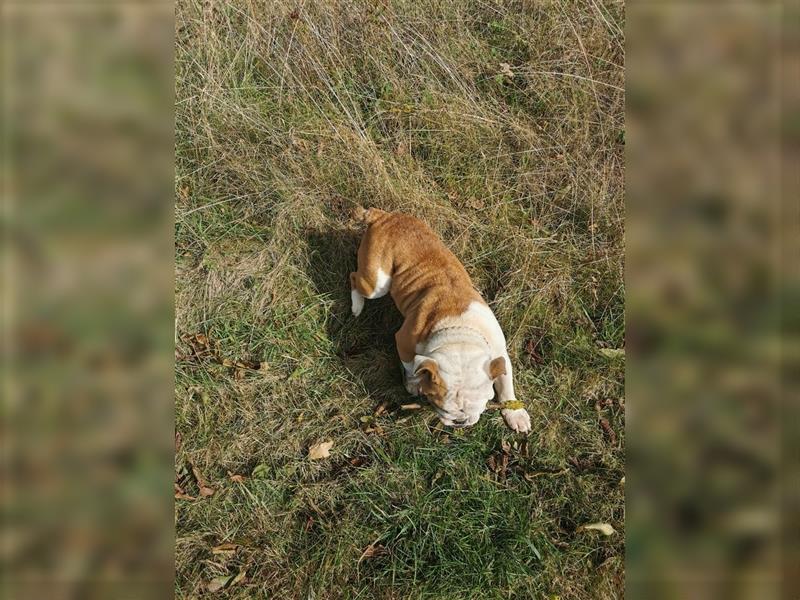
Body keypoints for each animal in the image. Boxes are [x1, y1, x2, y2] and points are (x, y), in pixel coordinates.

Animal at [350, 207, 532, 432]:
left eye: (481, 404)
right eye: (441, 406)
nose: (460, 421)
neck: (459, 331)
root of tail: (382, 216)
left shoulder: (499, 354)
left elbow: (506, 384)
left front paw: (515, 413)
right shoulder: (404, 343)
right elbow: (411, 367)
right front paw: (414, 383)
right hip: (377, 283)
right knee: (354, 278)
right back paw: (357, 306)